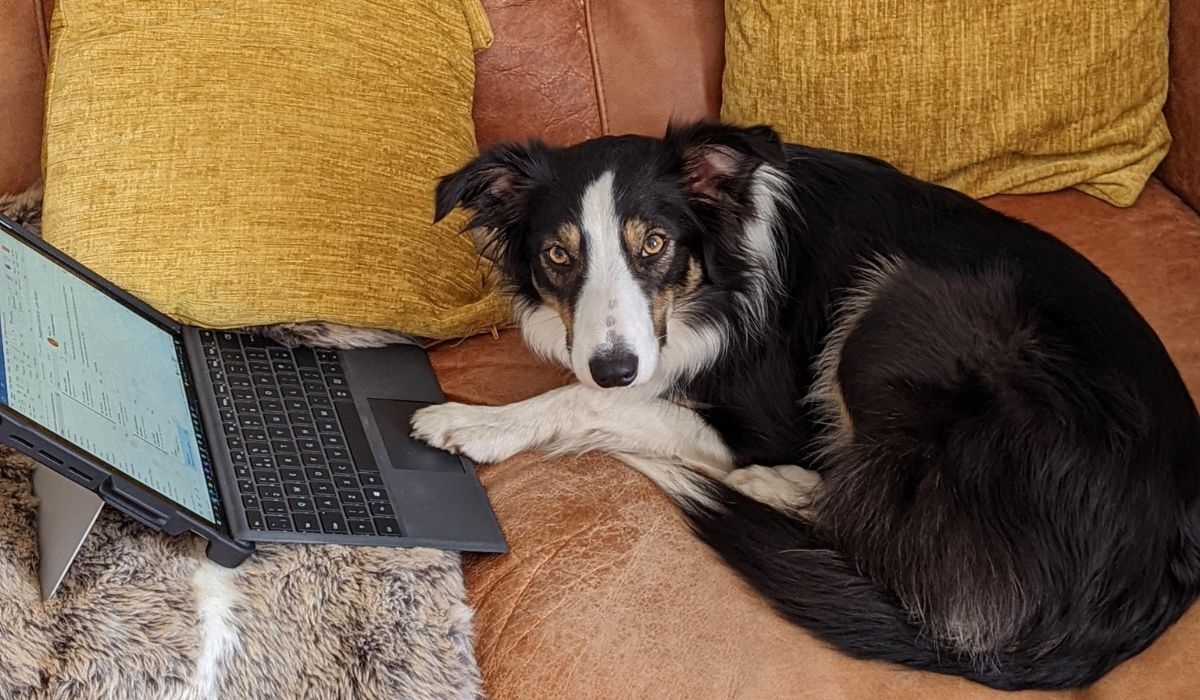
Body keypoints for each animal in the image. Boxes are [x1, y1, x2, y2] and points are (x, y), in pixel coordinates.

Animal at [412, 120, 1200, 691]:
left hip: (900, 305)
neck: (715, 277)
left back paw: (777, 486)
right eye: (558, 255)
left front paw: (474, 421)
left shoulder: (753, 419)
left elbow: (581, 399)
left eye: (656, 244)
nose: (615, 368)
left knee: (883, 535)